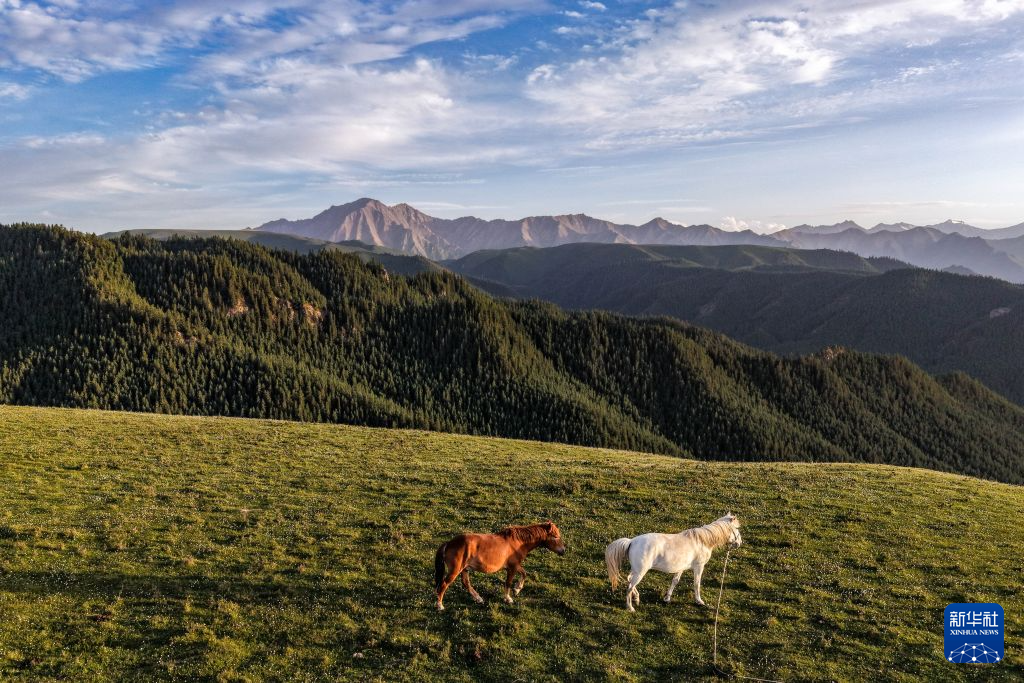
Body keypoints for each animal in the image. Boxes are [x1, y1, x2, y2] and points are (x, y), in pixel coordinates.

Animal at [433, 521, 566, 610]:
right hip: (455, 570)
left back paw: (478, 598)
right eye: (555, 536)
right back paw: (440, 605)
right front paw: (508, 598)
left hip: (465, 569)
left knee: (466, 583)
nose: (563, 551)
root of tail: (449, 543)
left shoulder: (515, 565)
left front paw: (517, 589)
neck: (518, 542)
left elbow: (524, 573)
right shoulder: (512, 567)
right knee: (444, 584)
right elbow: (508, 582)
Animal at [605, 513, 742, 612]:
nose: (739, 543)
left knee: (629, 580)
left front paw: (667, 598)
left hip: (636, 571)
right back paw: (630, 608)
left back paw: (637, 599)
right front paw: (699, 601)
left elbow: (675, 581)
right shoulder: (699, 567)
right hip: (640, 572)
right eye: (736, 529)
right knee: (629, 587)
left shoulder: (681, 568)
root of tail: (631, 541)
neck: (702, 541)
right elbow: (696, 584)